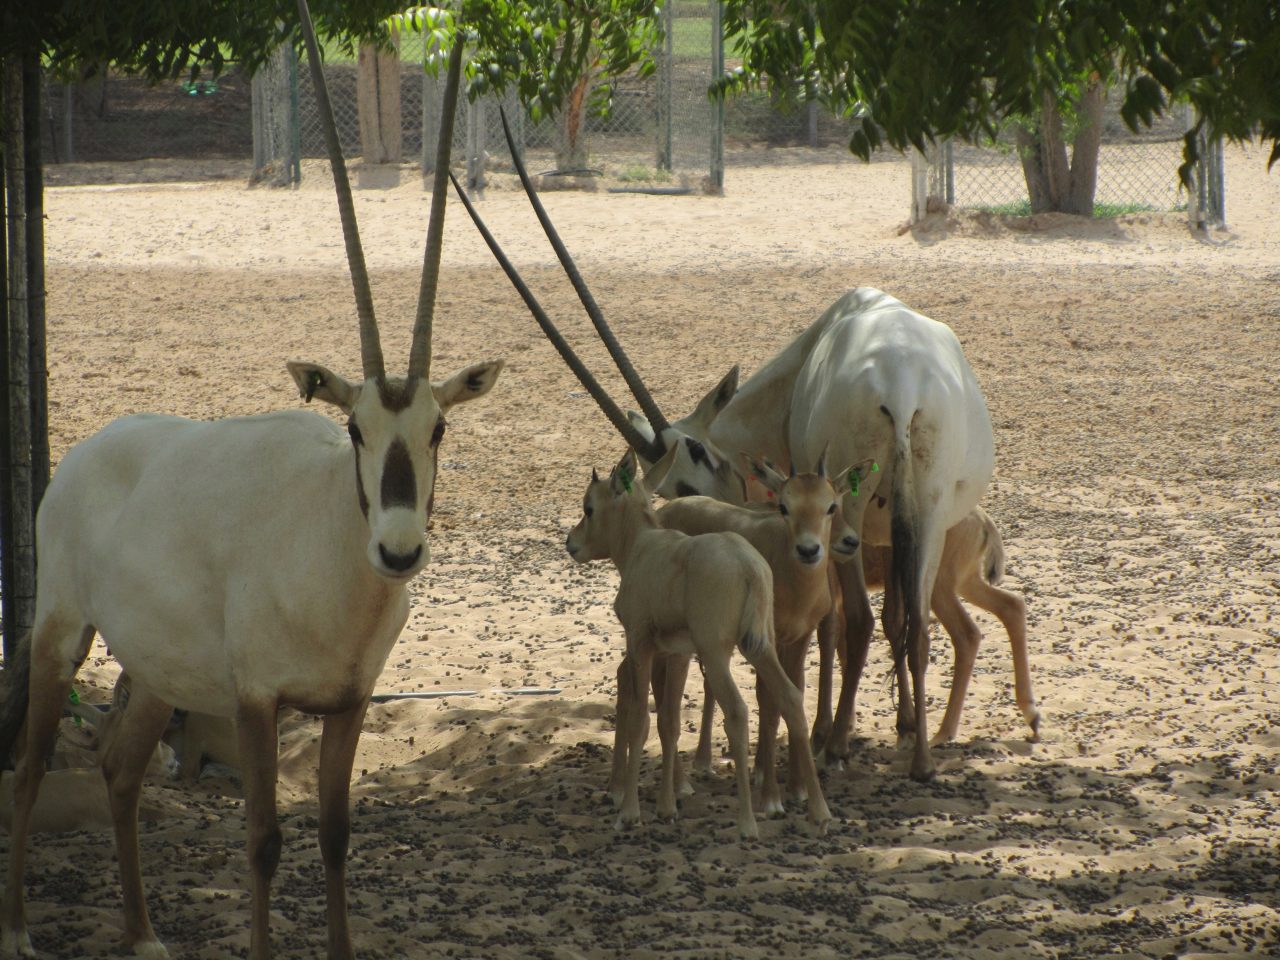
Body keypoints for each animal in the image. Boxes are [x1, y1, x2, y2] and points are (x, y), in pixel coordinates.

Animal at [568, 450, 829, 839]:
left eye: (589, 508)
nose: (571, 543)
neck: (642, 544)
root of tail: (749, 567)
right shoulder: (678, 652)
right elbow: (670, 721)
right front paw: (666, 807)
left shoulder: (640, 642)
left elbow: (640, 718)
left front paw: (630, 812)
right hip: (761, 647)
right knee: (791, 699)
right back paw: (818, 812)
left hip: (716, 652)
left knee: (737, 710)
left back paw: (748, 823)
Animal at [650, 455, 860, 814]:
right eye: (784, 506)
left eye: (832, 504)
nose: (810, 550)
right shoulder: (766, 639)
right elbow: (769, 702)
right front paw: (771, 794)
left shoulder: (799, 637)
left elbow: (794, 692)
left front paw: (797, 787)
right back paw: (682, 780)